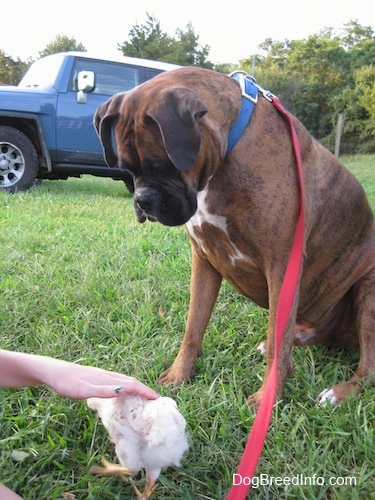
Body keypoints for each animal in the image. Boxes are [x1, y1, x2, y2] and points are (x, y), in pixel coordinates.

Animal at [94, 66, 375, 408]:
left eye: (163, 166)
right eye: (126, 168)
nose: (143, 200)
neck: (229, 150)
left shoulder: (282, 267)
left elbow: (278, 343)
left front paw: (268, 398)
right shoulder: (203, 260)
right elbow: (193, 325)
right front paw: (180, 374)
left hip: (368, 293)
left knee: (368, 368)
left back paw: (338, 392)